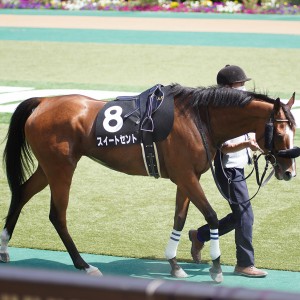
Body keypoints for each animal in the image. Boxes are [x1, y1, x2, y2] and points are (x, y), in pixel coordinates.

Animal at [0, 83, 296, 282]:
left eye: (294, 129)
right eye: (281, 132)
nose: (289, 172)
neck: (199, 118)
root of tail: (43, 101)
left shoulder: (187, 177)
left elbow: (179, 218)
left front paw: (175, 264)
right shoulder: (186, 176)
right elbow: (211, 215)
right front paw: (215, 267)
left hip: (48, 167)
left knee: (22, 193)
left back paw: (4, 248)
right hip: (61, 168)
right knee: (57, 215)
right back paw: (84, 265)